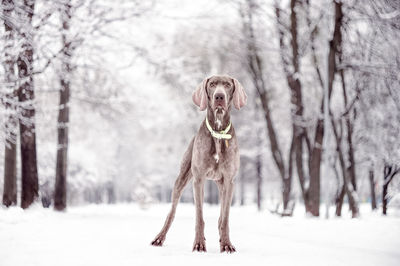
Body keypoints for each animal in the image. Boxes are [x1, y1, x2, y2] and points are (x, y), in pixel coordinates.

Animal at [151, 74, 247, 252]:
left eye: (228, 85)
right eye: (212, 84)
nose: (219, 96)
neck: (218, 133)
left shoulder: (229, 181)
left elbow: (225, 218)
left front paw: (226, 244)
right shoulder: (199, 179)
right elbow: (199, 216)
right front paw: (199, 243)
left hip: (221, 185)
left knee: (221, 215)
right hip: (181, 179)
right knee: (171, 212)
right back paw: (159, 238)